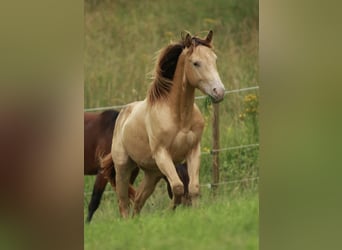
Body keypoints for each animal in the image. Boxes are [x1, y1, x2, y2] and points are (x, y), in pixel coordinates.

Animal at [103, 30, 224, 217]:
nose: (219, 92)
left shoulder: (193, 151)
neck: (180, 117)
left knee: (138, 200)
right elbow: (178, 187)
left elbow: (193, 188)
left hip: (152, 173)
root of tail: (123, 115)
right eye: (196, 63)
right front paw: (170, 211)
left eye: (215, 59)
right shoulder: (162, 154)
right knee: (123, 203)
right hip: (123, 168)